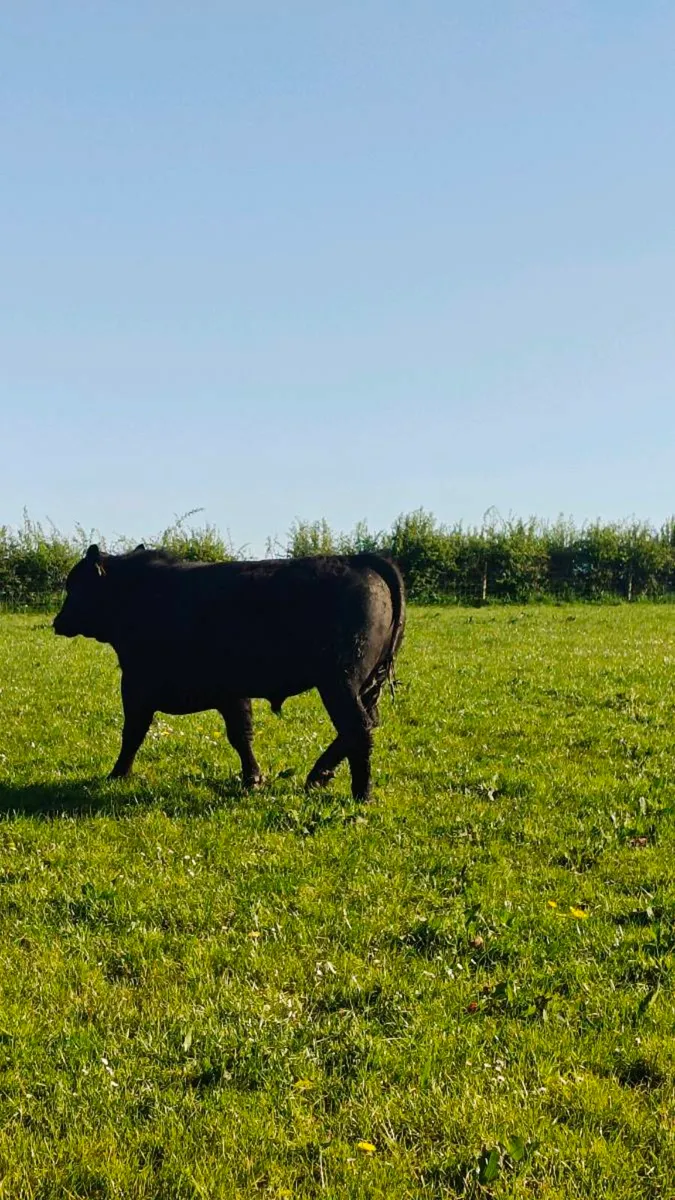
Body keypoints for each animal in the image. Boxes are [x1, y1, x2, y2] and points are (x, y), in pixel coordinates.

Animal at [53, 545, 405, 800]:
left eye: (76, 586)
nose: (58, 621)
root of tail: (359, 559)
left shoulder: (137, 686)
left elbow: (132, 734)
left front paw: (117, 774)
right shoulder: (231, 693)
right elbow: (241, 735)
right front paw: (254, 778)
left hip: (339, 682)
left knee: (358, 729)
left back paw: (360, 793)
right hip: (363, 685)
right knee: (364, 726)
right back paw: (319, 776)